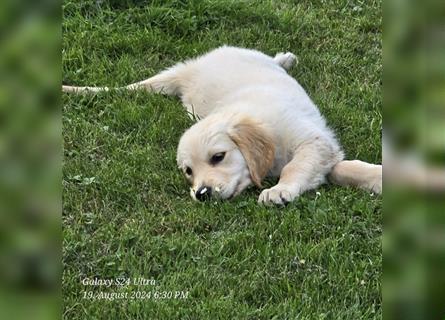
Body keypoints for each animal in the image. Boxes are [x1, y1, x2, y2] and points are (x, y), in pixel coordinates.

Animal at [63, 46, 382, 204]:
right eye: (188, 172)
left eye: (218, 157)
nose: (201, 194)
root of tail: (189, 72)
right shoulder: (321, 152)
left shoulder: (314, 143)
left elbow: (299, 166)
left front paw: (280, 190)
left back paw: (285, 59)